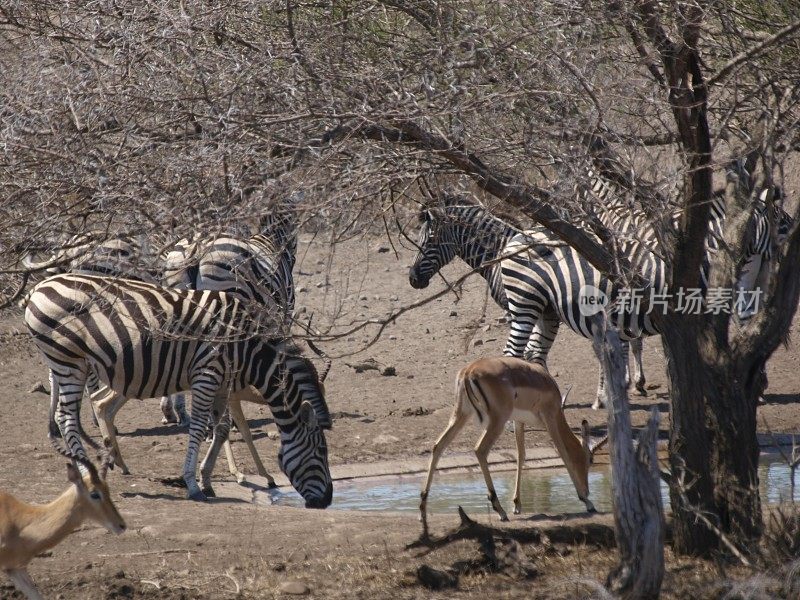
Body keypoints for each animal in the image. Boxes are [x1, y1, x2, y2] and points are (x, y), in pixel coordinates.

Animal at [25, 274, 332, 504]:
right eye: (320, 451)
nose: (328, 500)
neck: (246, 346)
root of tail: (38, 287)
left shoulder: (223, 382)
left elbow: (221, 429)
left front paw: (206, 479)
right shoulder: (207, 373)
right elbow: (198, 428)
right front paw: (193, 485)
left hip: (68, 363)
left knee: (76, 413)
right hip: (69, 361)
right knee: (67, 419)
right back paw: (88, 474)